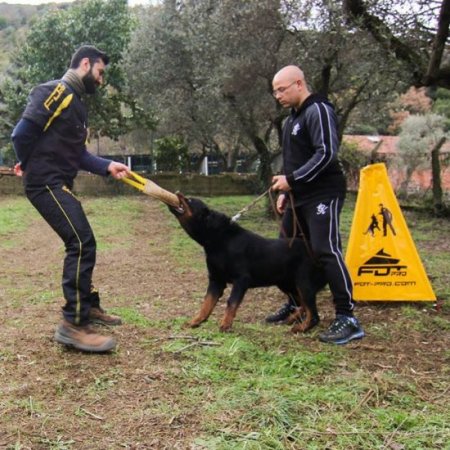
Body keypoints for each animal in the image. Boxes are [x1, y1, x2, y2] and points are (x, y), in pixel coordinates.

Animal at [170, 192, 326, 332]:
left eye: (189, 200)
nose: (177, 192)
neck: (219, 241)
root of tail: (313, 251)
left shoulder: (241, 280)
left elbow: (231, 302)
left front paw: (225, 324)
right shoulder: (216, 280)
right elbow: (206, 303)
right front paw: (195, 321)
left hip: (303, 283)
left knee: (313, 313)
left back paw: (302, 327)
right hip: (287, 284)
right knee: (303, 305)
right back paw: (291, 319)